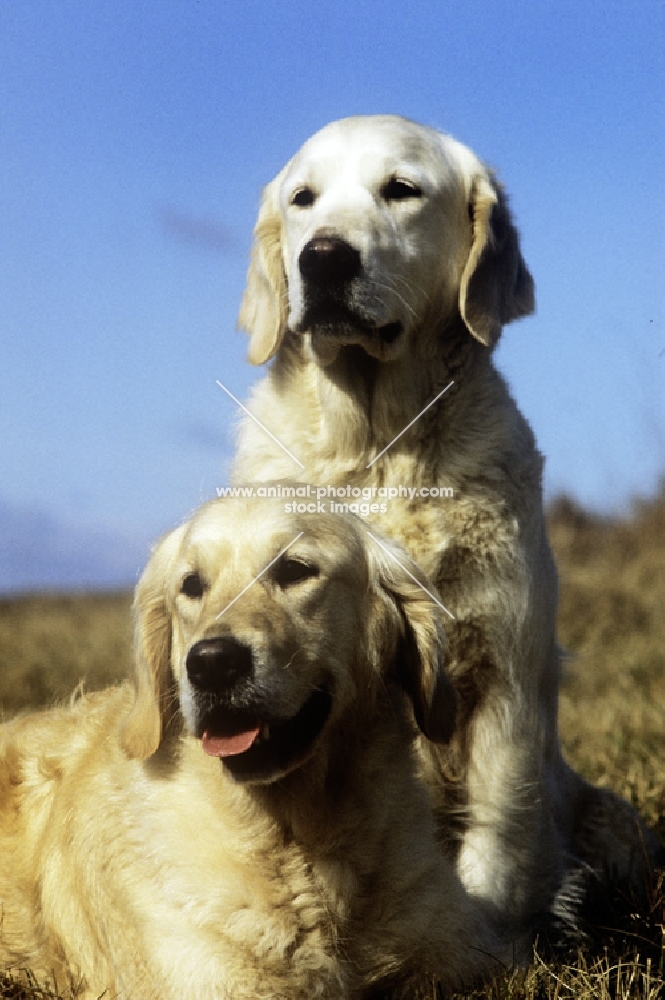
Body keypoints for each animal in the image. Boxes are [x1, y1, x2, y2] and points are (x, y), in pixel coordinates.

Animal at [233, 115, 660, 928]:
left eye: (401, 189)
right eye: (304, 199)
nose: (322, 257)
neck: (379, 448)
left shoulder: (503, 677)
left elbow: (498, 843)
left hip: (609, 818)